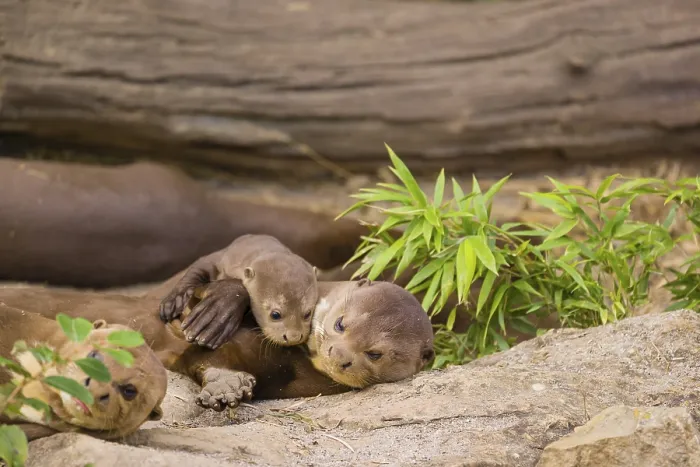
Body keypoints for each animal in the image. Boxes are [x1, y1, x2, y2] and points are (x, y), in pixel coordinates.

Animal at [159, 234, 318, 347]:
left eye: (307, 313)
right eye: (275, 314)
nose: (294, 337)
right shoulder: (221, 259)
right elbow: (200, 266)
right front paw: (173, 302)